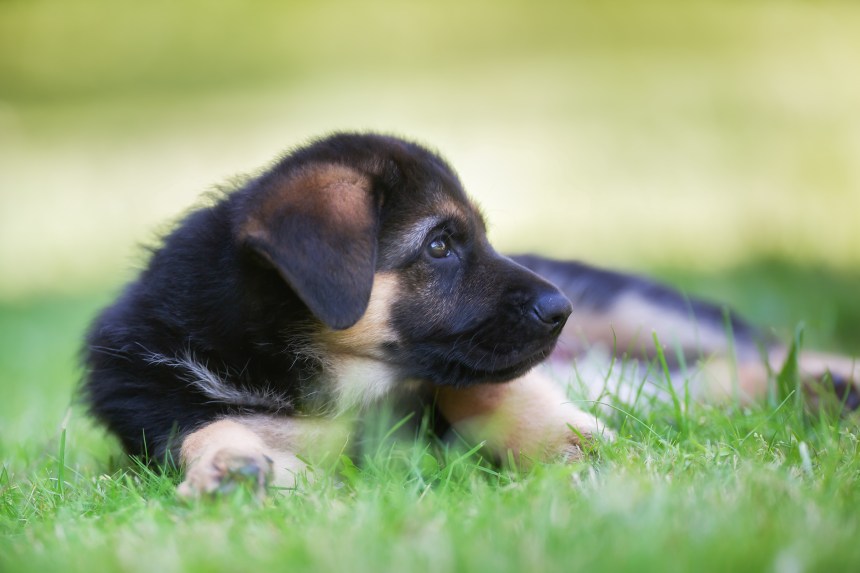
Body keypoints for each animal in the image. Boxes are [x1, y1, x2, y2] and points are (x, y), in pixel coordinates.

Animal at [84, 131, 856, 496]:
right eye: (440, 244)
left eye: (475, 236)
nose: (560, 308)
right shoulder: (176, 411)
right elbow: (204, 432)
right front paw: (233, 468)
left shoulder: (468, 370)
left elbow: (478, 385)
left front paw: (562, 440)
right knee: (709, 381)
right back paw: (825, 394)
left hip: (650, 313)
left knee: (753, 350)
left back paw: (834, 381)